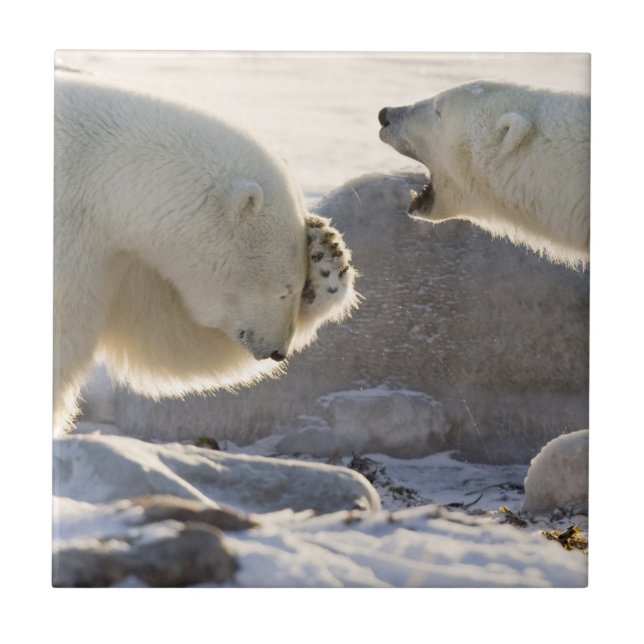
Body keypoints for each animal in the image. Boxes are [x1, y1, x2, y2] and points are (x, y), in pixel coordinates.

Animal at [54, 72, 358, 434]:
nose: (278, 351)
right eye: (285, 290)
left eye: (300, 288)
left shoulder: (118, 254)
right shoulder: (71, 236)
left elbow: (166, 333)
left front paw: (327, 256)